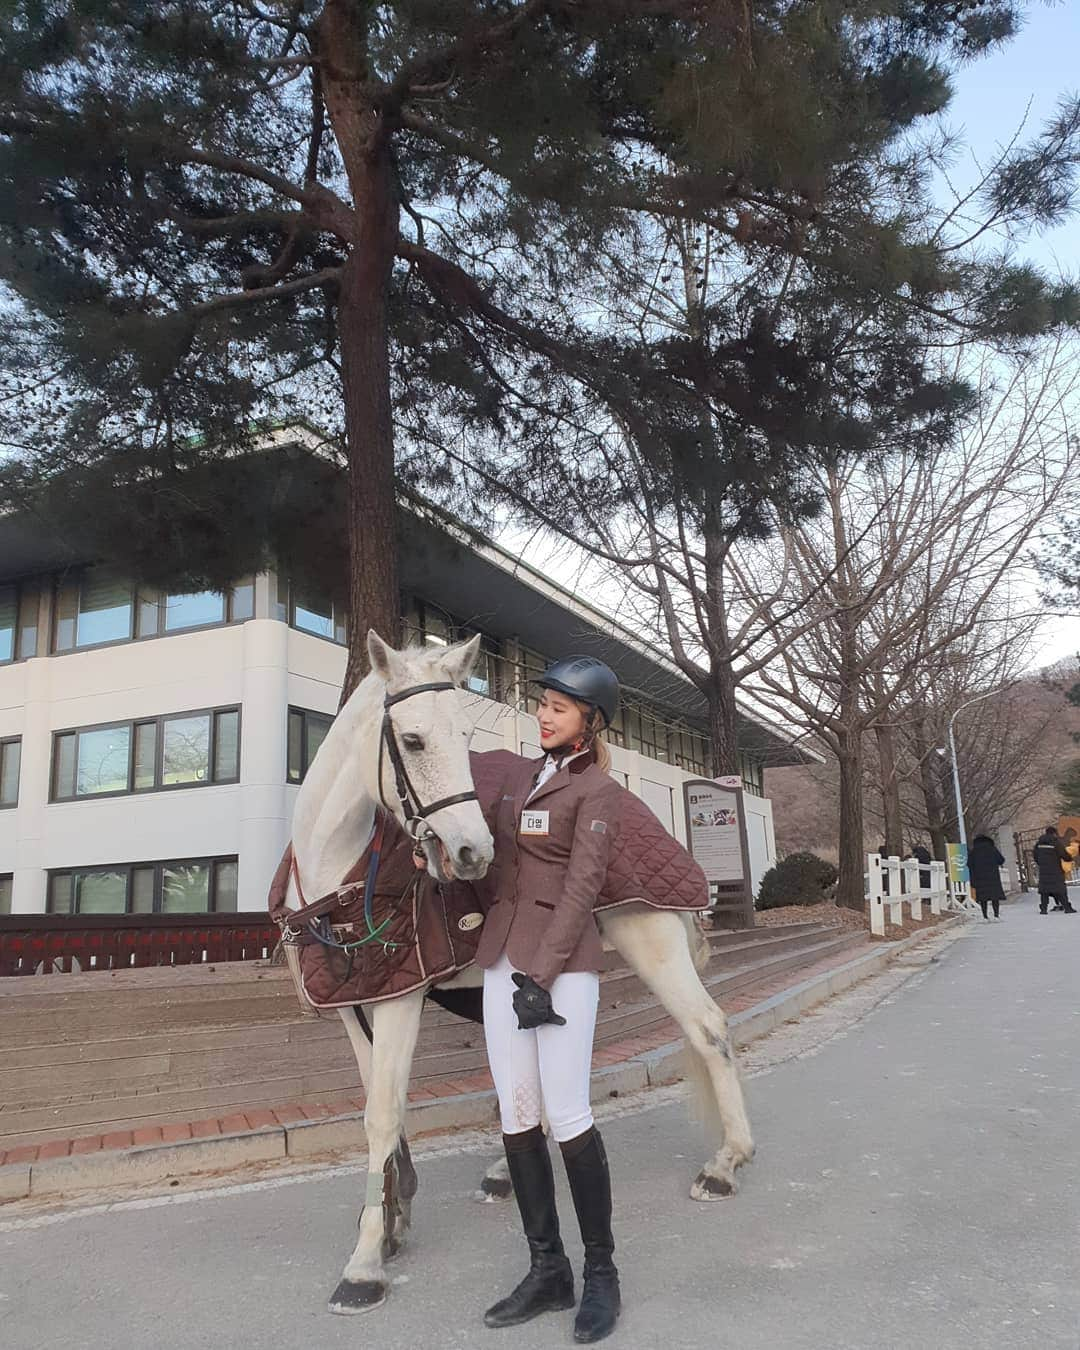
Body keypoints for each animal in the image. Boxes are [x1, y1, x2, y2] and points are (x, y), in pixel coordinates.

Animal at [288, 634, 761, 1317]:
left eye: (465, 736)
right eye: (413, 741)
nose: (472, 853)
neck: (343, 881)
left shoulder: (401, 1001)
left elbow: (382, 1114)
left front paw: (364, 1263)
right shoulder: (357, 1005)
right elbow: (384, 1108)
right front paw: (392, 1217)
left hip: (651, 941)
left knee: (708, 1029)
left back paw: (726, 1164)